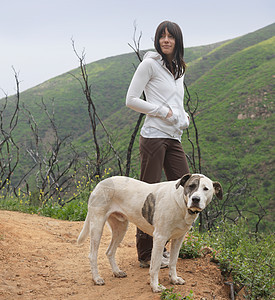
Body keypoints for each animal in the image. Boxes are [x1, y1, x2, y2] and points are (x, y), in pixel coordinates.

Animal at [77, 173, 222, 292]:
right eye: (191, 186)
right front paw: (155, 286)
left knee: (109, 251)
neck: (181, 203)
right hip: (97, 225)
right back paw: (96, 278)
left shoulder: (178, 239)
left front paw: (174, 279)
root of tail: (100, 183)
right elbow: (155, 266)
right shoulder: (159, 238)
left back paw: (117, 272)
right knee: (92, 255)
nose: (196, 199)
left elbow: (173, 261)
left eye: (206, 189)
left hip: (121, 227)